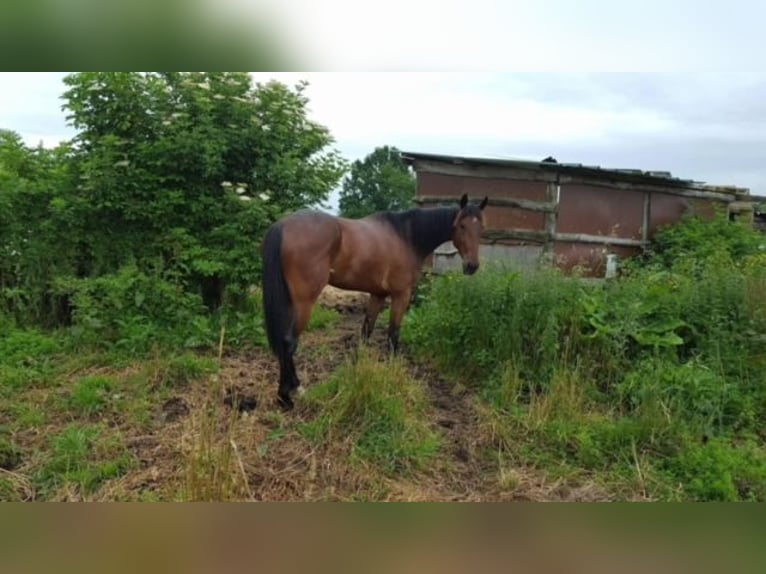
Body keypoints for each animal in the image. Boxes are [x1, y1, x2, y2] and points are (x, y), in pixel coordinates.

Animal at [260, 194, 488, 410]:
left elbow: (366, 333)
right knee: (289, 341)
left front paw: (356, 372)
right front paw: (393, 373)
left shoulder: (378, 295)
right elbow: (393, 335)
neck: (406, 237)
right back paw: (288, 395)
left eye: (481, 228)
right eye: (461, 225)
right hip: (304, 301)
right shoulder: (401, 295)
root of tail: (282, 225)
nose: (472, 266)